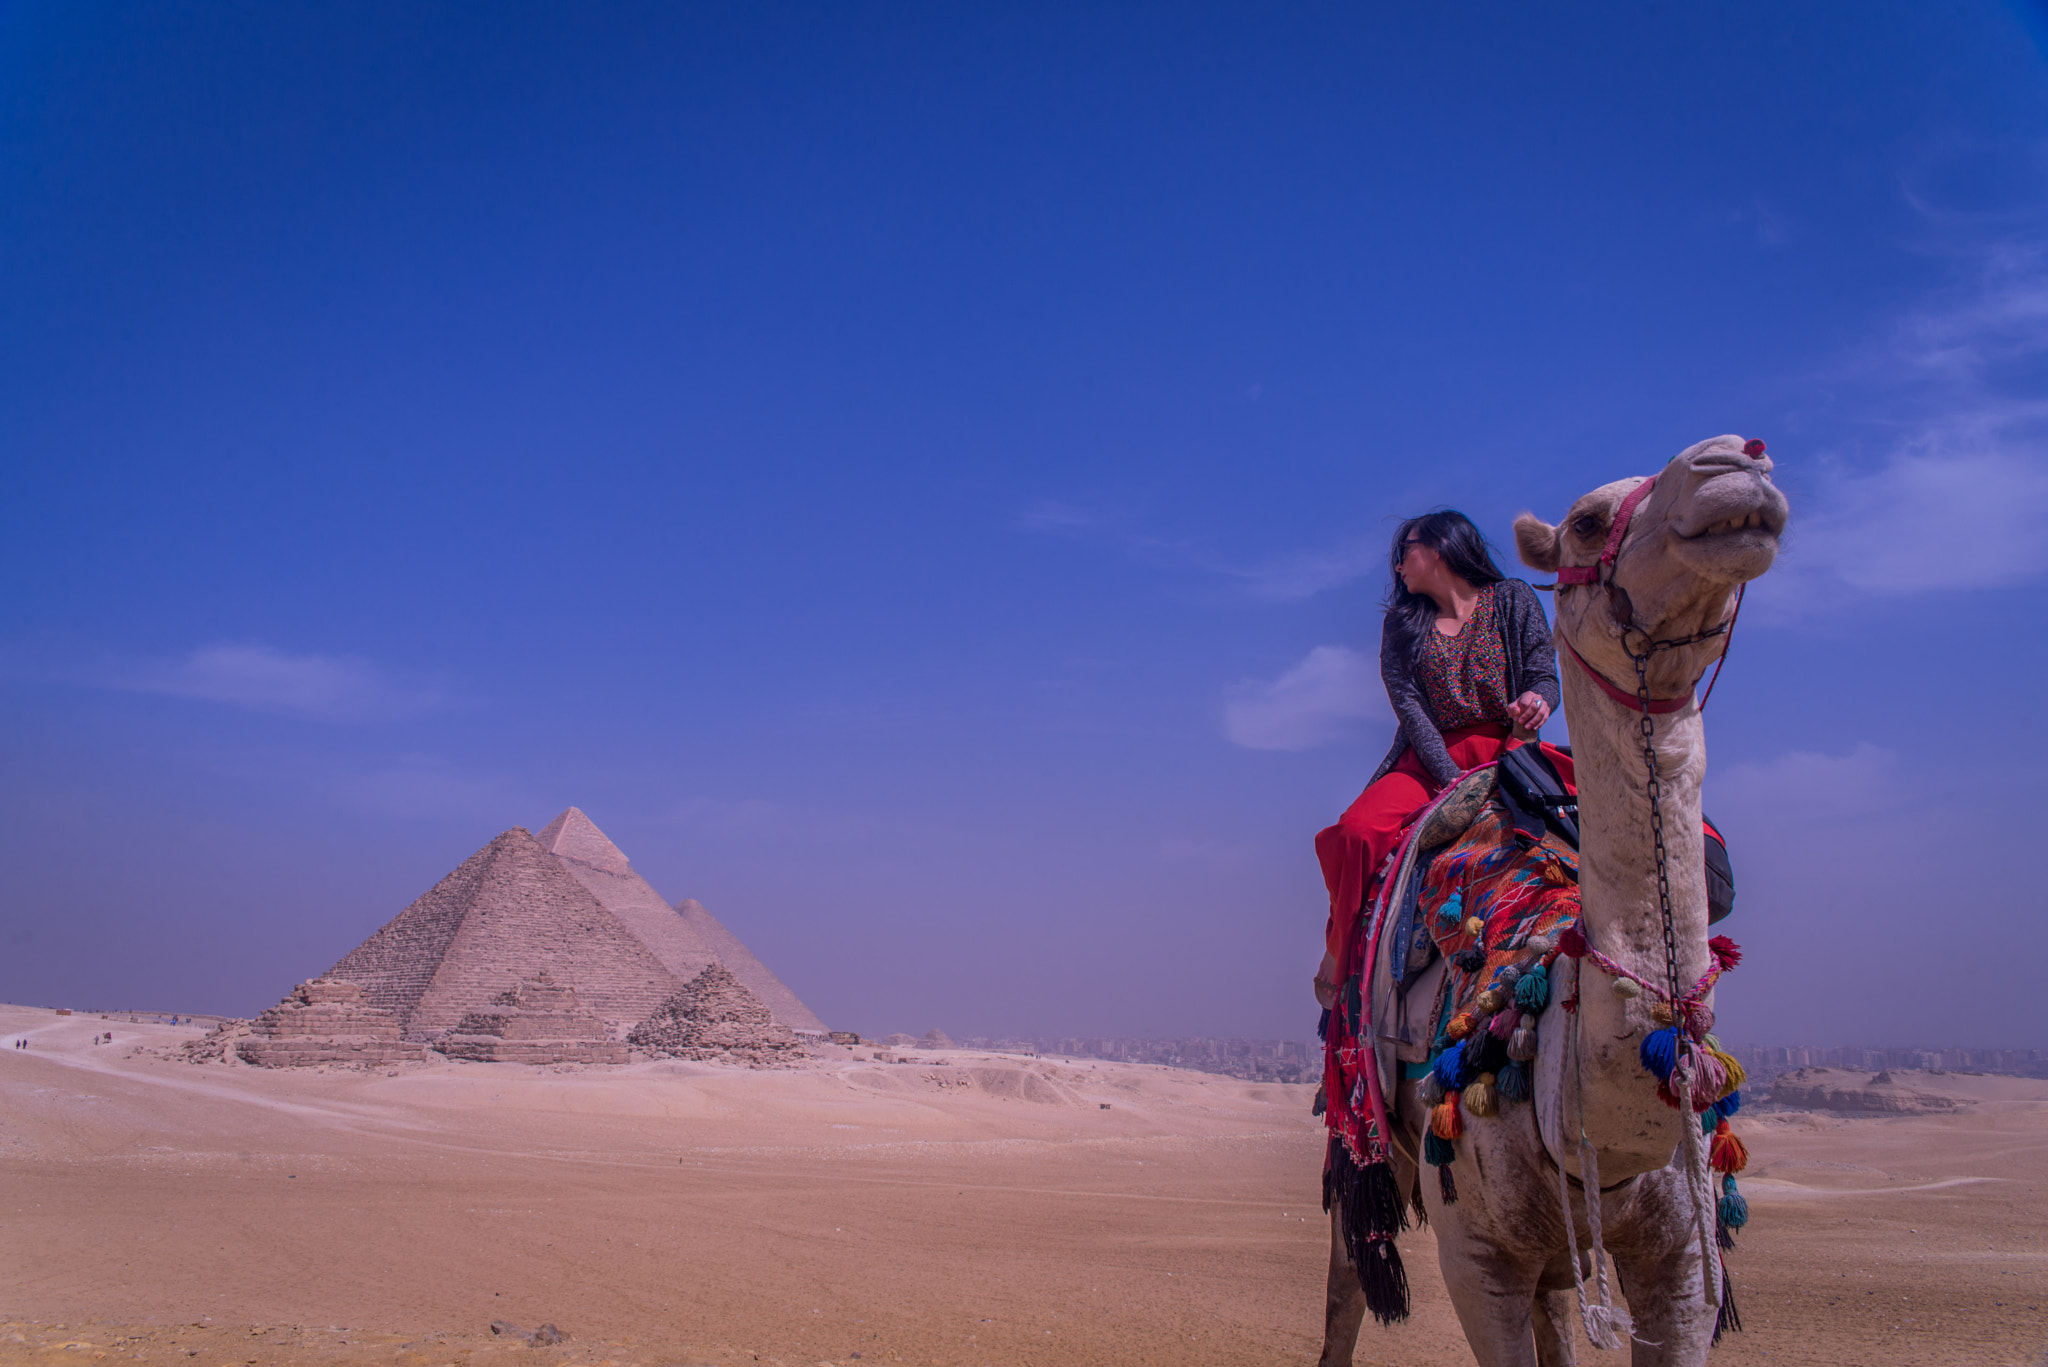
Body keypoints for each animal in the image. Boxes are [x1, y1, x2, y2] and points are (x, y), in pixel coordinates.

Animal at [1318, 438, 1785, 1367]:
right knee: (1354, 1265)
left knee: (1558, 1306)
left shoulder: (1686, 1260)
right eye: (1588, 522)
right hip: (1367, 1120)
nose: (1736, 462)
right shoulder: (1476, 1256)